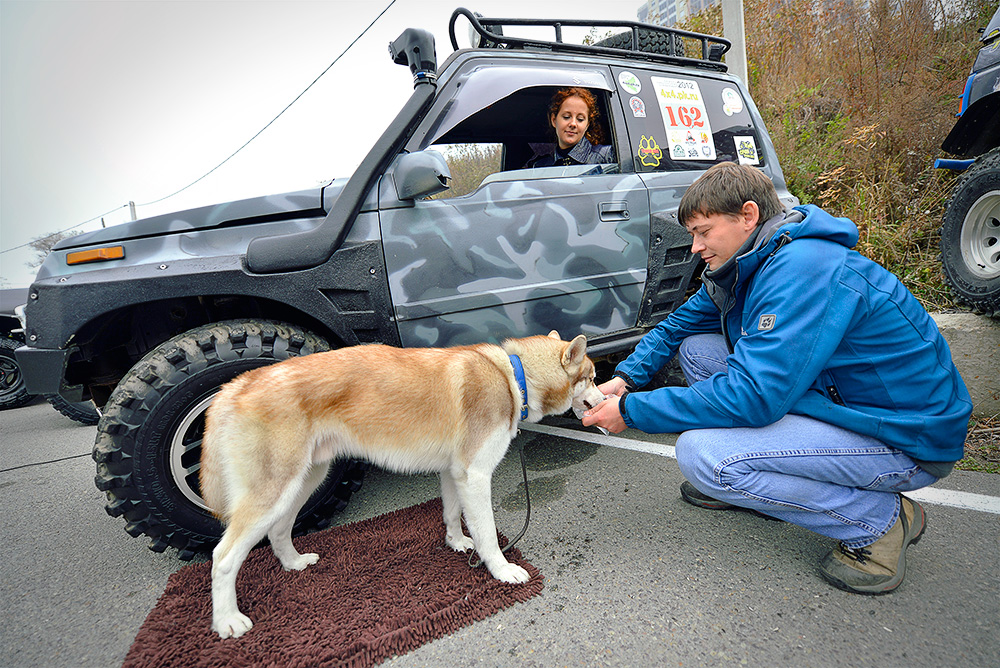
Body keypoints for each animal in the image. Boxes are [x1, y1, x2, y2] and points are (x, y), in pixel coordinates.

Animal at [197, 332, 600, 640]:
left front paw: (456, 543)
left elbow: (453, 515)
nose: (607, 395)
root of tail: (238, 384)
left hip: (301, 483)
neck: (513, 376)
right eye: (593, 377)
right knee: (223, 558)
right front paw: (500, 570)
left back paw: (294, 563)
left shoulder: (454, 474)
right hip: (273, 493)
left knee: (279, 530)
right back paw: (227, 620)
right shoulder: (475, 476)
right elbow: (486, 534)